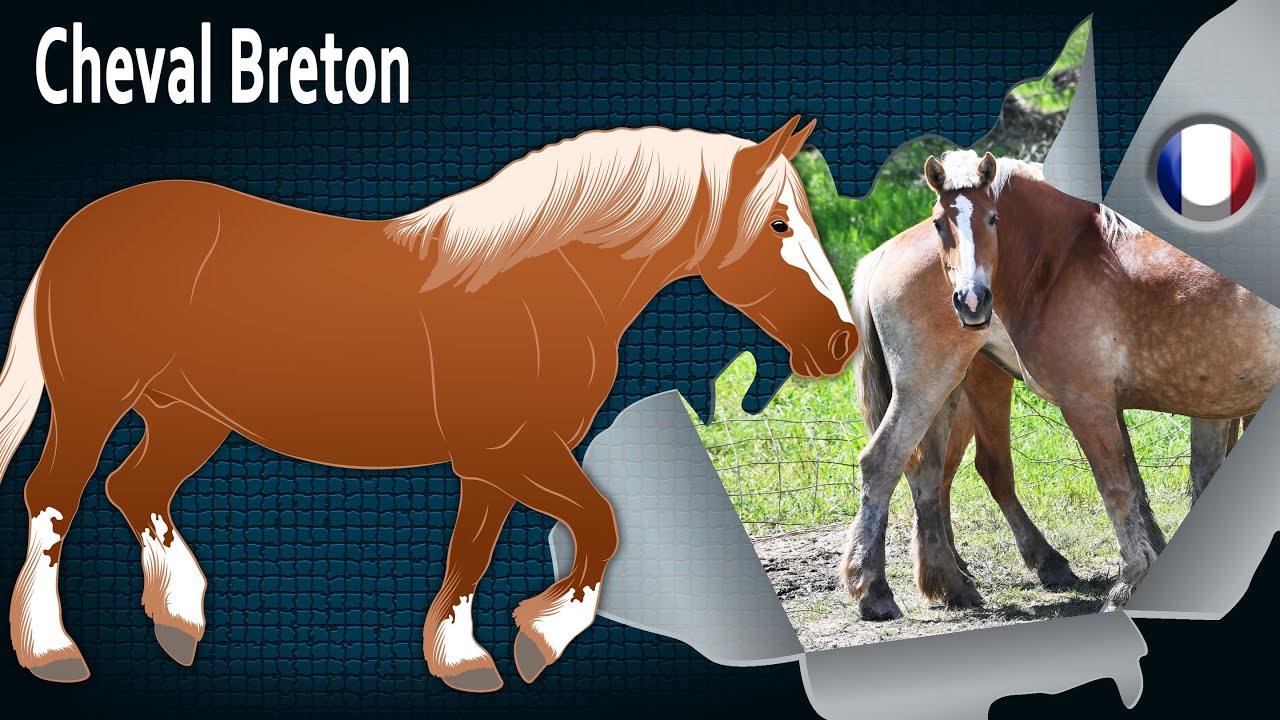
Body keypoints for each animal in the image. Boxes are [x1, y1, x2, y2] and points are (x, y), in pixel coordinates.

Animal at [0, 117, 857, 690]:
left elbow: (471, 553)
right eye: (778, 224)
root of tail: (78, 229)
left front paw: (467, 659)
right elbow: (601, 525)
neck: (539, 283)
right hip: (94, 405)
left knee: (133, 489)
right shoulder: (512, 450)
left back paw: (179, 622)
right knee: (55, 497)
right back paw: (53, 652)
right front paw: (540, 636)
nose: (841, 343)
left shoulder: (490, 464)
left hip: (188, 417)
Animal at [841, 149, 1277, 619]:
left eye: (993, 218)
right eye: (940, 223)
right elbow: (1120, 490)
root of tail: (881, 255)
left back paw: (953, 583)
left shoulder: (1201, 404)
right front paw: (1129, 584)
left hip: (950, 391)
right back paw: (877, 589)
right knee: (890, 464)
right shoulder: (1088, 403)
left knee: (928, 472)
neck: (1065, 260)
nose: (972, 300)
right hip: (933, 384)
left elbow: (1176, 479)